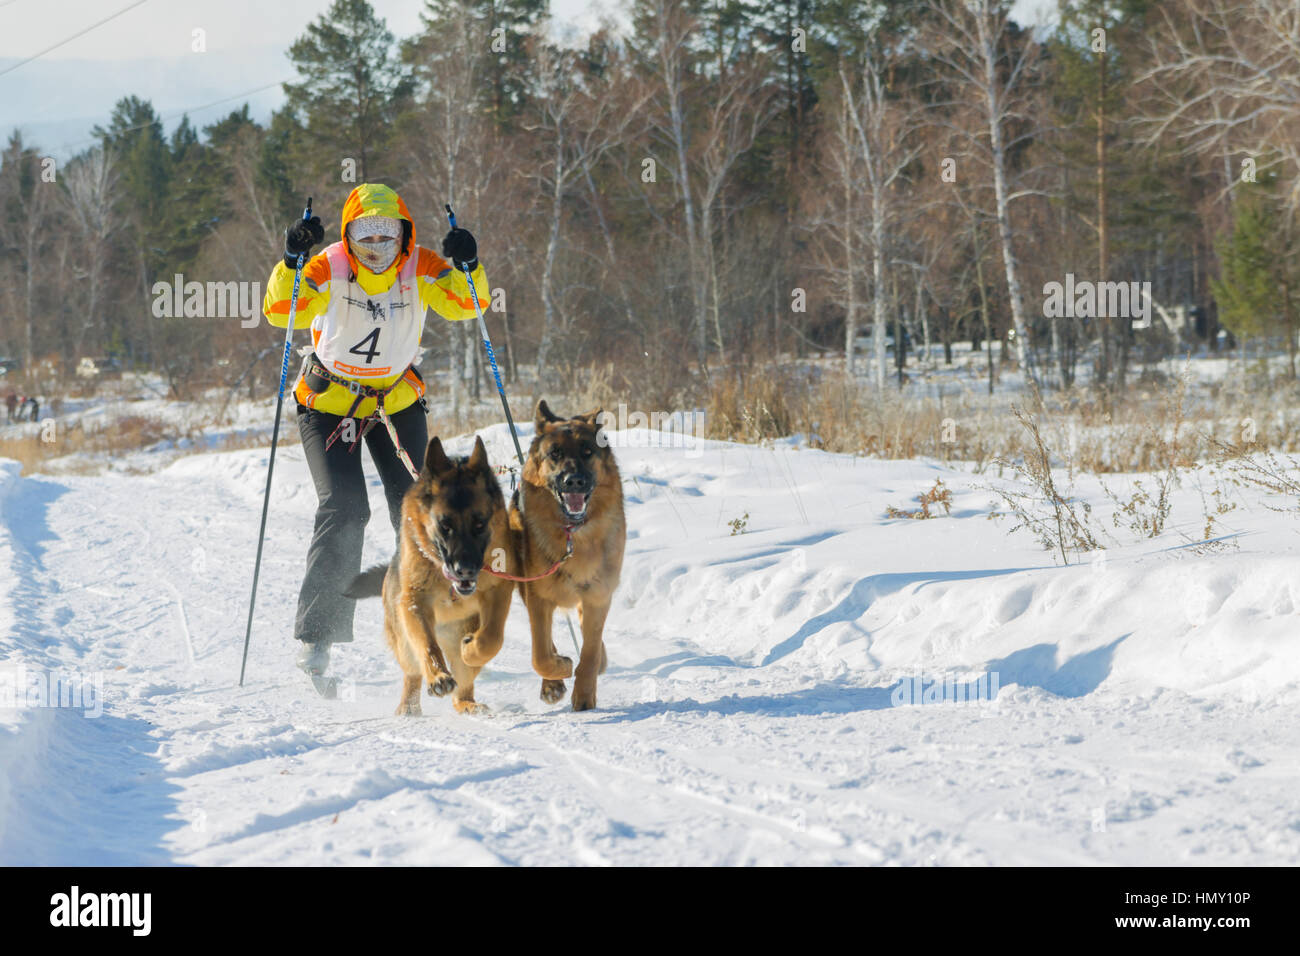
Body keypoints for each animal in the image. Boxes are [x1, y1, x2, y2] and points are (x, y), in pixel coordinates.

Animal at [345, 437, 517, 712]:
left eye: (479, 524)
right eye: (445, 526)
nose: (465, 569)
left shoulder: (498, 590)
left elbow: (492, 637)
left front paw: (472, 650)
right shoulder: (414, 602)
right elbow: (427, 644)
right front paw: (438, 676)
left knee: (462, 684)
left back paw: (468, 703)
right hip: (403, 641)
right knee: (412, 672)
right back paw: (408, 708)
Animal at [509, 398, 626, 712]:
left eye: (587, 452)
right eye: (555, 454)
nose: (573, 481)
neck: (575, 535)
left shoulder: (598, 596)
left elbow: (590, 652)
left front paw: (584, 694)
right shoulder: (538, 598)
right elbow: (540, 654)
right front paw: (558, 673)